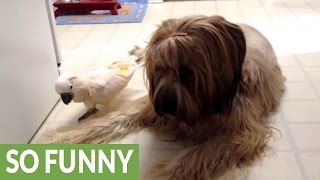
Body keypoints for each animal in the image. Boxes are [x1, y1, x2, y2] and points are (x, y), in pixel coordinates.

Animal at [48, 15, 284, 180]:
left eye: (187, 72)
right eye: (159, 68)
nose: (164, 106)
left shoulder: (242, 133)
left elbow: (196, 155)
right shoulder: (149, 103)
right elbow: (111, 120)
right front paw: (65, 137)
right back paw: (138, 51)